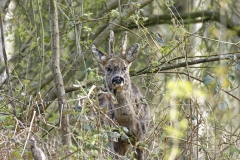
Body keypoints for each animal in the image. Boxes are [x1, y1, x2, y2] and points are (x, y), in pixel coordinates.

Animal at [92, 30, 150, 159]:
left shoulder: (141, 137)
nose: (117, 79)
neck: (128, 124)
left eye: (124, 67)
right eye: (108, 68)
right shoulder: (115, 137)